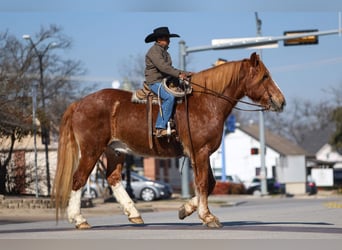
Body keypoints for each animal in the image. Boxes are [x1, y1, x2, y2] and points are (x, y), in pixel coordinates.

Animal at [51, 52, 286, 229]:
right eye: (265, 76)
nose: (281, 101)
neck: (206, 102)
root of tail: (79, 103)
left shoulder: (202, 153)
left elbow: (210, 183)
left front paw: (185, 209)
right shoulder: (200, 152)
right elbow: (203, 183)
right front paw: (207, 217)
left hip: (115, 150)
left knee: (113, 178)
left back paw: (134, 214)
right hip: (92, 150)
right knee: (79, 179)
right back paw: (79, 219)